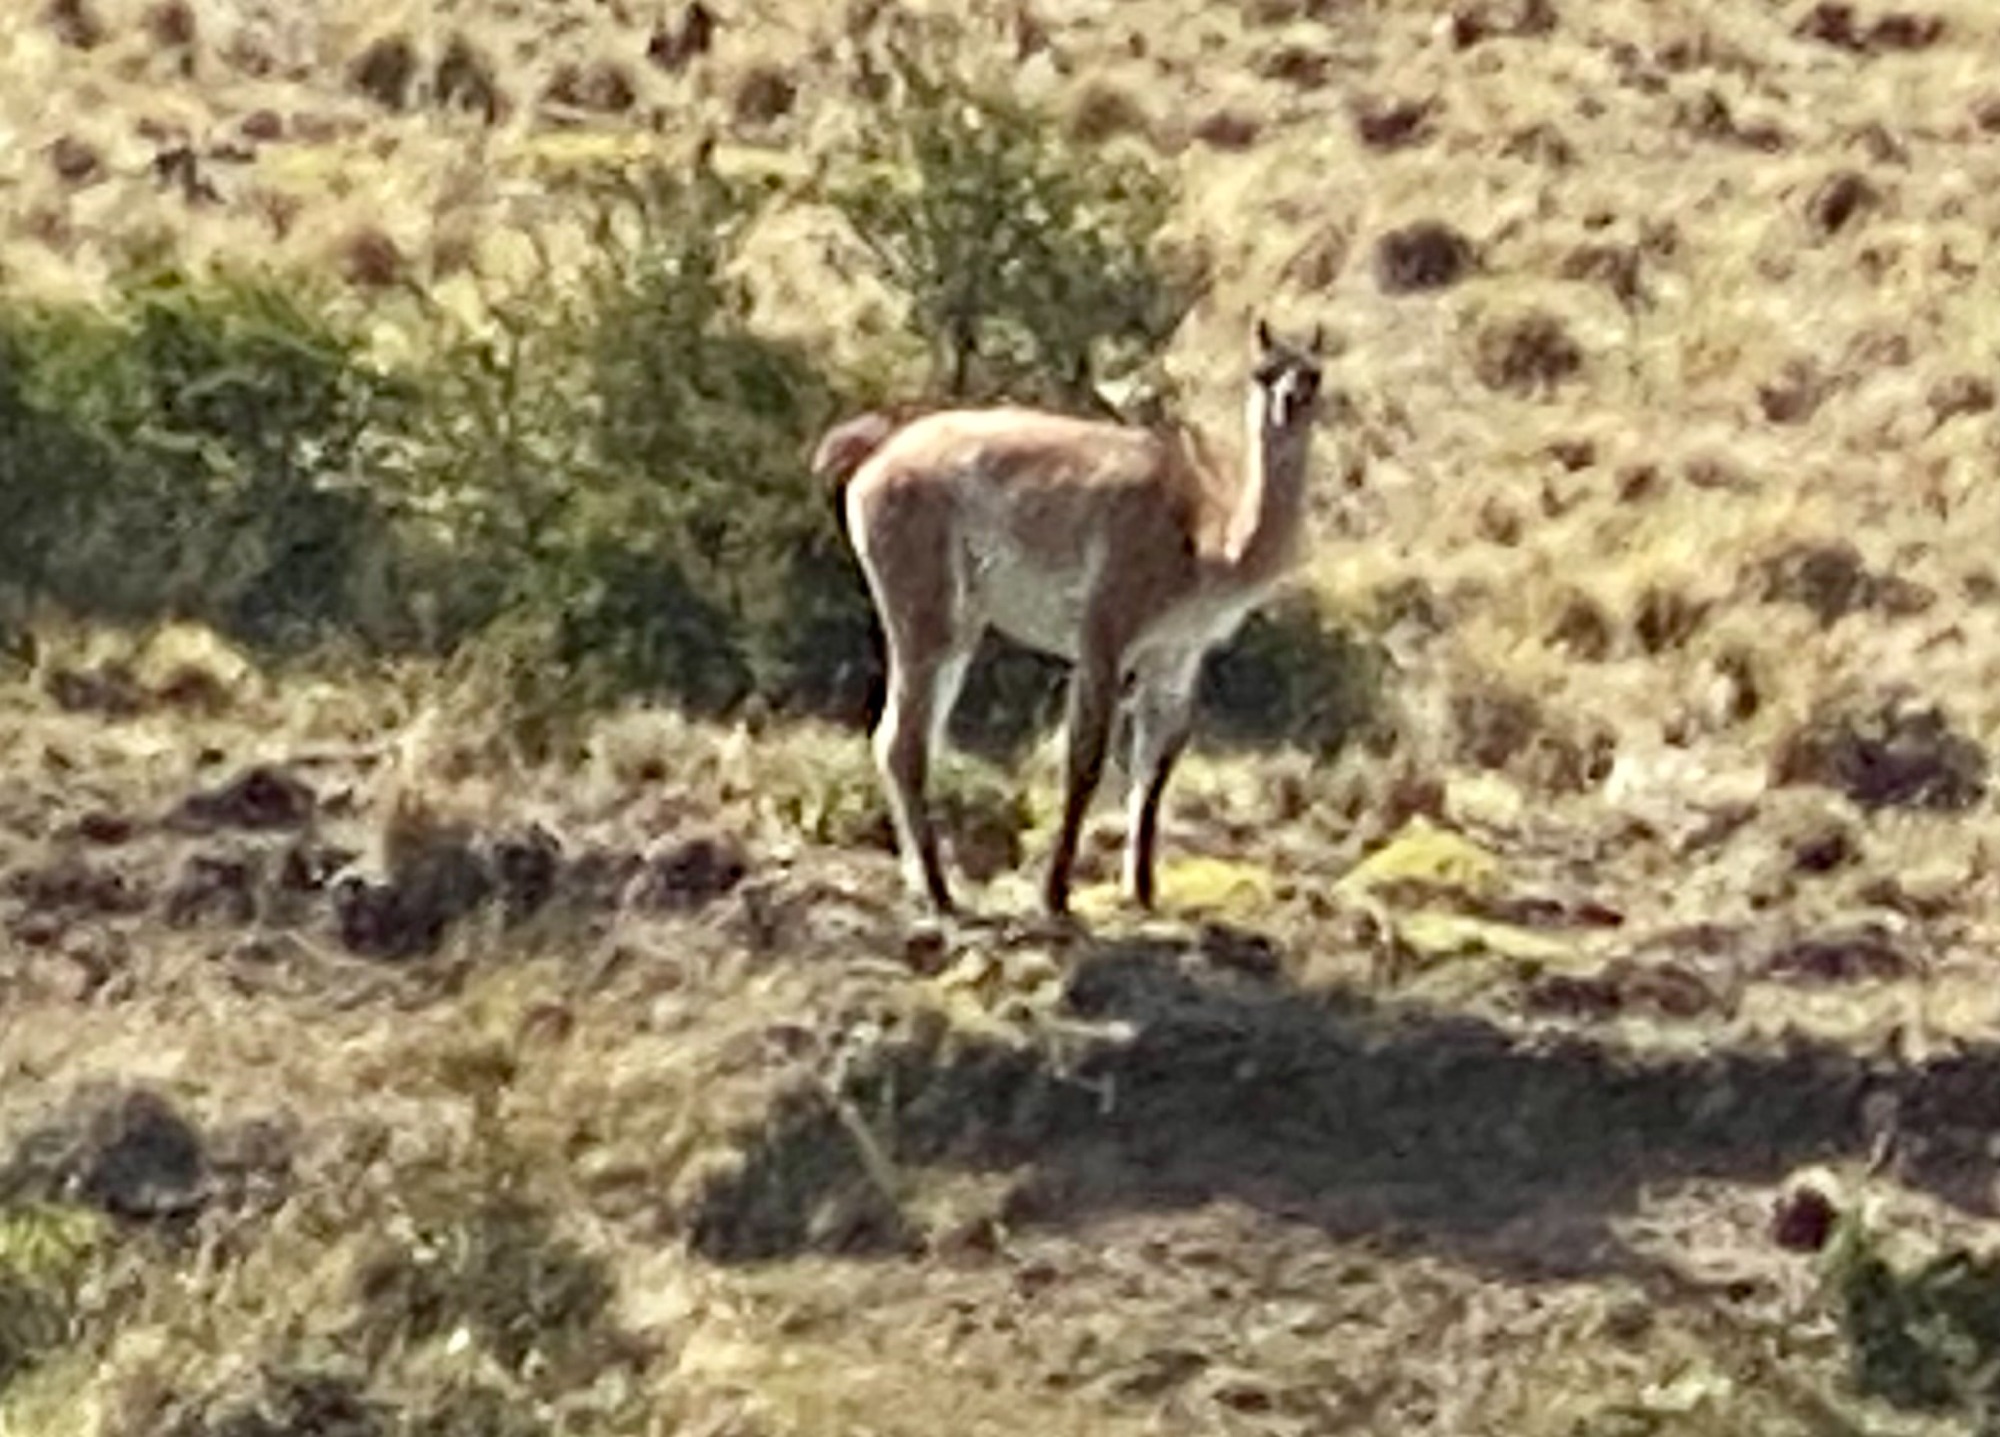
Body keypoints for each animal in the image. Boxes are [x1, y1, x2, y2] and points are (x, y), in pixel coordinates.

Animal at [815, 318, 1328, 919]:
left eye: (1314, 374)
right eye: (1262, 372)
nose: (1290, 403)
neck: (1205, 549)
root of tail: (877, 455)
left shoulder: (1177, 653)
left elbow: (1156, 763)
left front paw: (1142, 891)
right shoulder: (1106, 627)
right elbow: (1086, 757)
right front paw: (1056, 893)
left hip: (960, 620)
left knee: (898, 737)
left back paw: (921, 884)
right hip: (923, 592)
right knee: (904, 740)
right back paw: (941, 894)